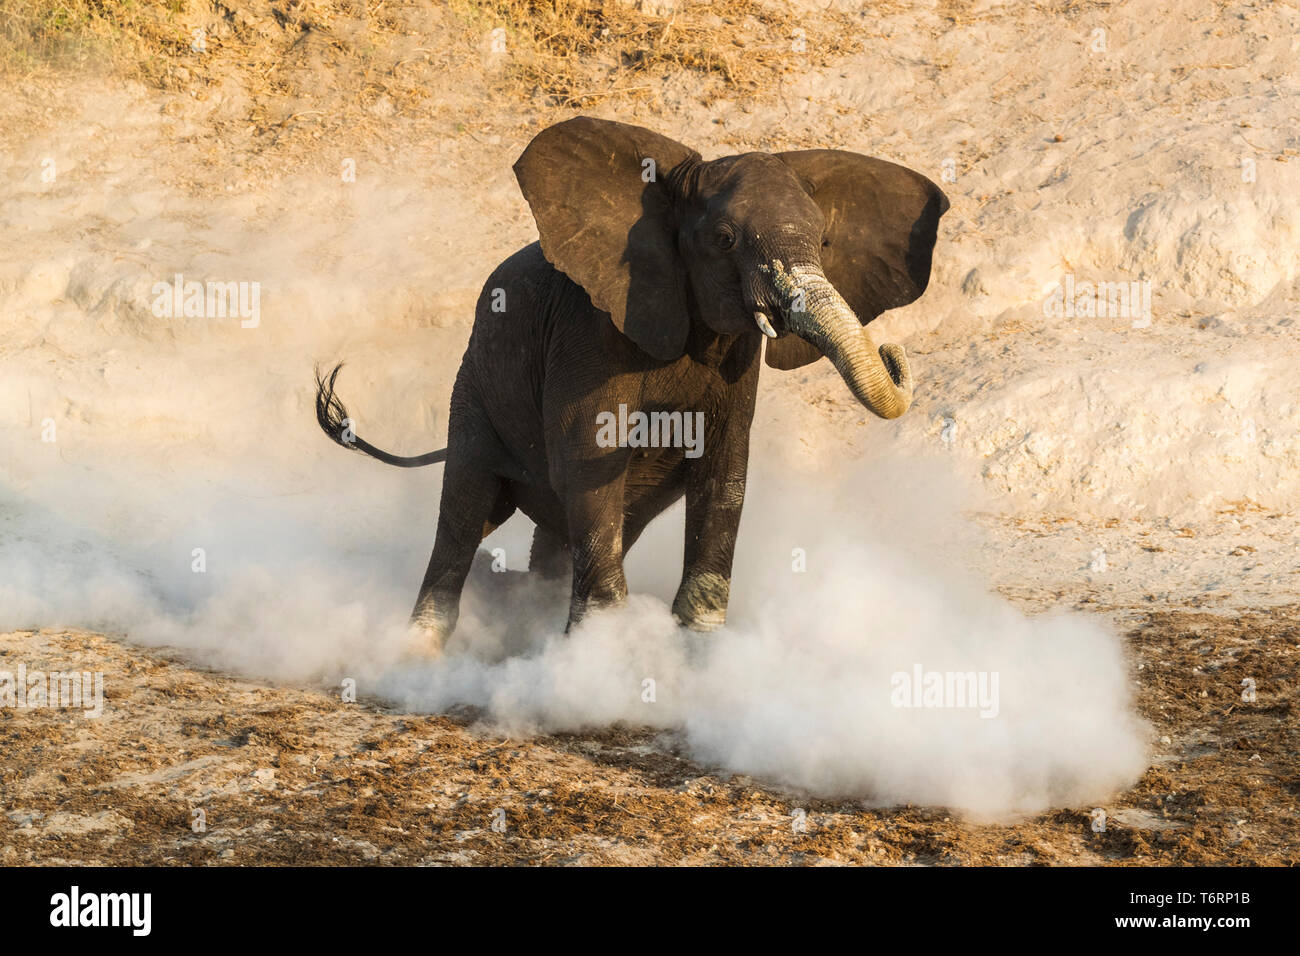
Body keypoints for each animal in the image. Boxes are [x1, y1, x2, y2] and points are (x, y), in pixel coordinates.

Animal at [315, 116, 948, 654]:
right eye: (724, 239)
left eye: (823, 242)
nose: (893, 351)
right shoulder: (589, 334)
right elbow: (590, 458)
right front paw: (610, 657)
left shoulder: (737, 355)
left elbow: (725, 472)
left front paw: (696, 652)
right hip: (474, 387)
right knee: (466, 513)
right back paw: (419, 652)